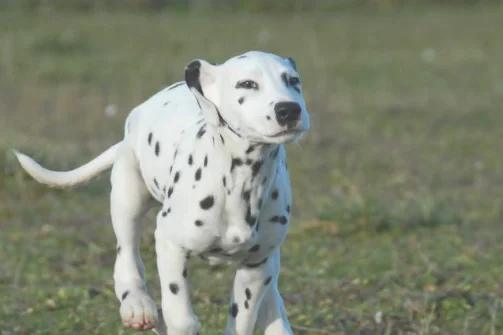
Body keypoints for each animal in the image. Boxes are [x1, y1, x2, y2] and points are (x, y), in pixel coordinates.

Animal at [14, 50, 312, 335]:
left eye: (293, 81)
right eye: (247, 84)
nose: (289, 110)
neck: (243, 178)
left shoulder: (256, 266)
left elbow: (243, 318)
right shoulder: (170, 243)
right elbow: (181, 319)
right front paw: (168, 322)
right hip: (127, 197)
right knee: (127, 257)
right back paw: (137, 305)